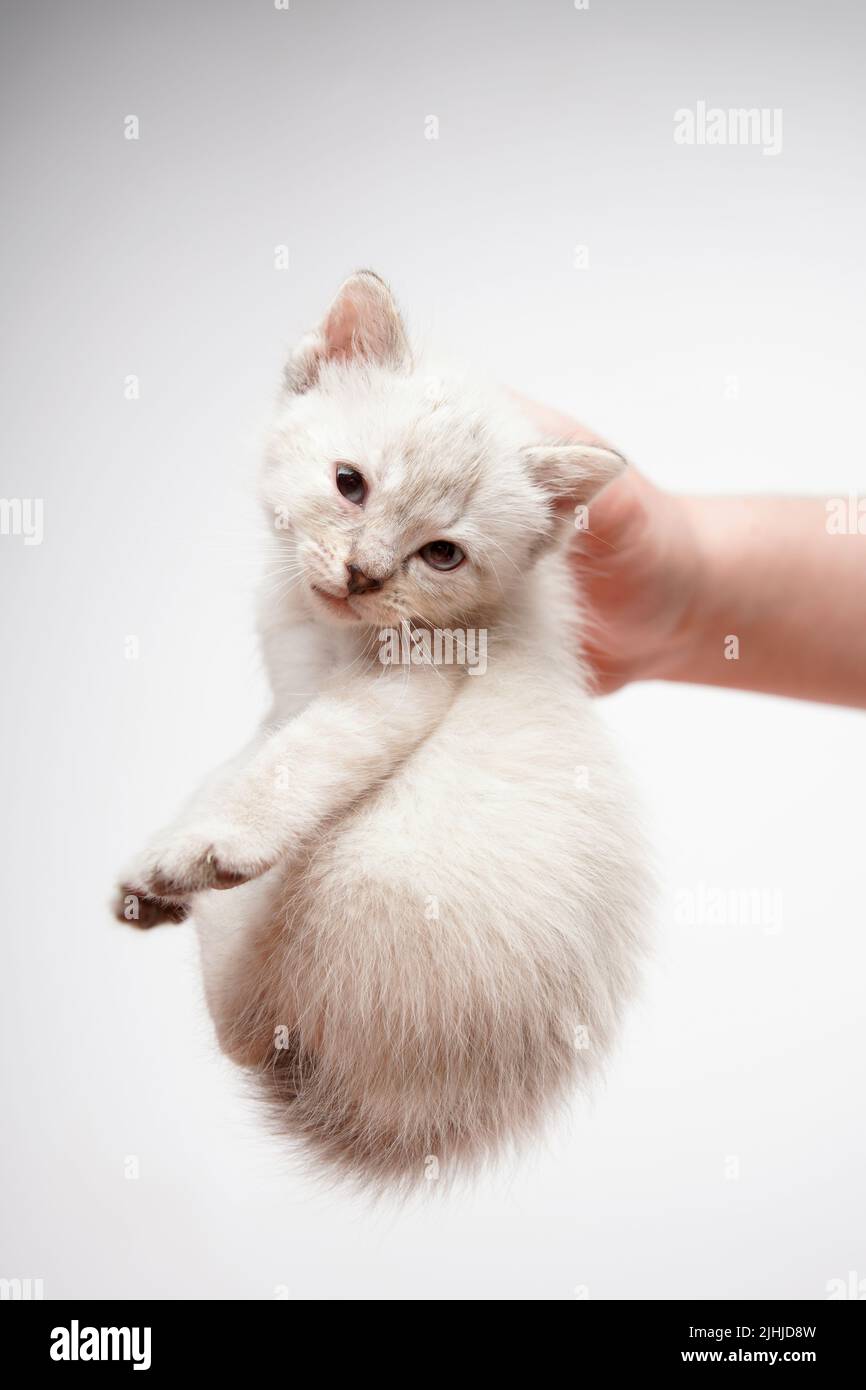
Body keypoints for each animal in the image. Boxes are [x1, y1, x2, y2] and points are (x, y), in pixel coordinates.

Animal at [120, 276, 650, 1189]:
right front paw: (169, 843)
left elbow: (286, 763)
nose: (363, 574)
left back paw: (198, 903)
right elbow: (243, 757)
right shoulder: (285, 694)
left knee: (242, 1026)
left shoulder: (404, 688)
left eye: (441, 554)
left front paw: (201, 847)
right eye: (349, 484)